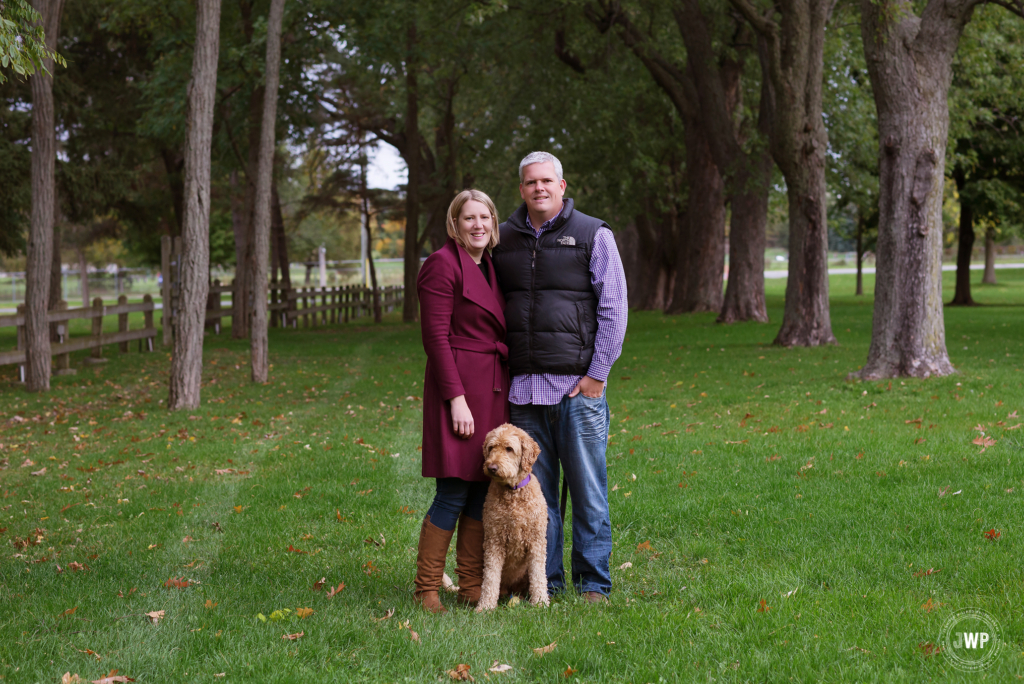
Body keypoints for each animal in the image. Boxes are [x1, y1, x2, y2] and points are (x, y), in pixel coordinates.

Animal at [473, 421, 548, 610]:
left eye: (509, 448)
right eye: (491, 447)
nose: (491, 467)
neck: (513, 493)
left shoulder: (537, 540)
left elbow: (538, 574)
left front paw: (541, 602)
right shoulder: (494, 540)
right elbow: (491, 577)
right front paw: (485, 606)